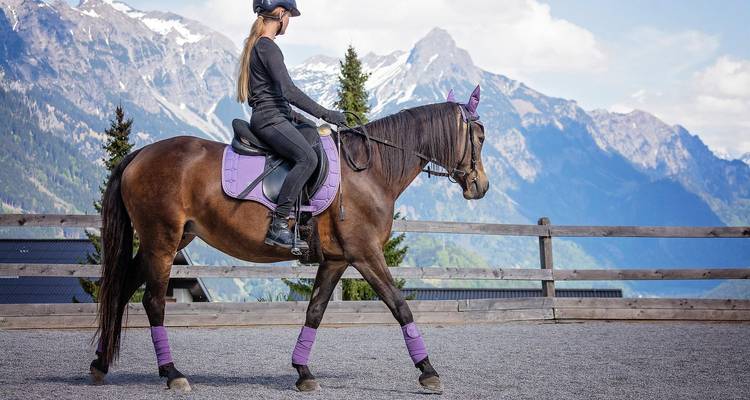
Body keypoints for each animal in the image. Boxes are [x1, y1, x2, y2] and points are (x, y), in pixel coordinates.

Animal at [89, 86, 490, 393]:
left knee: (122, 290)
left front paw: (303, 373)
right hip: (162, 241)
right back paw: (172, 374)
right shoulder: (366, 254)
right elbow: (399, 305)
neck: (370, 171)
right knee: (153, 302)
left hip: (167, 241)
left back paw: (100, 364)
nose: (481, 187)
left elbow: (315, 311)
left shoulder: (337, 259)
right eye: (480, 137)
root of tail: (141, 153)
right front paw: (428, 371)